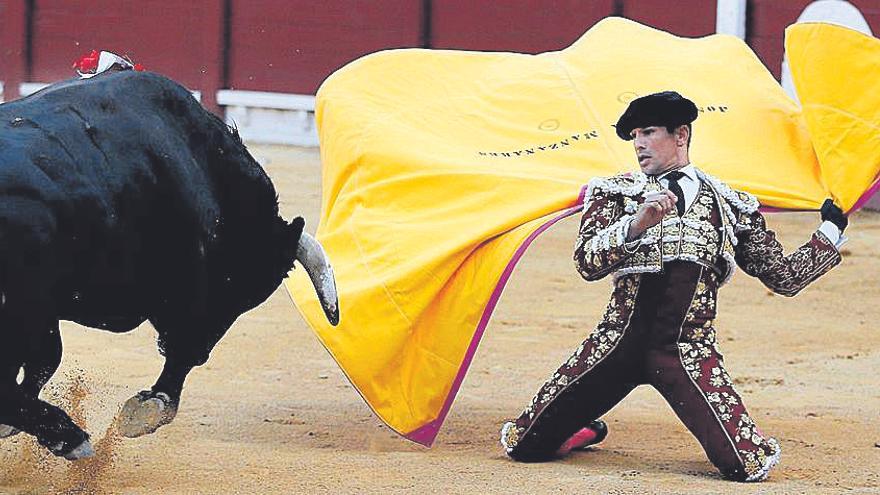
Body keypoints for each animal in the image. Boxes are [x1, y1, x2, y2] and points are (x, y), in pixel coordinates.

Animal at [0, 70, 336, 462]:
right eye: (238, 286)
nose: (206, 351)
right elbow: (177, 352)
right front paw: (149, 407)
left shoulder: (45, 311)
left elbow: (43, 361)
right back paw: (69, 436)